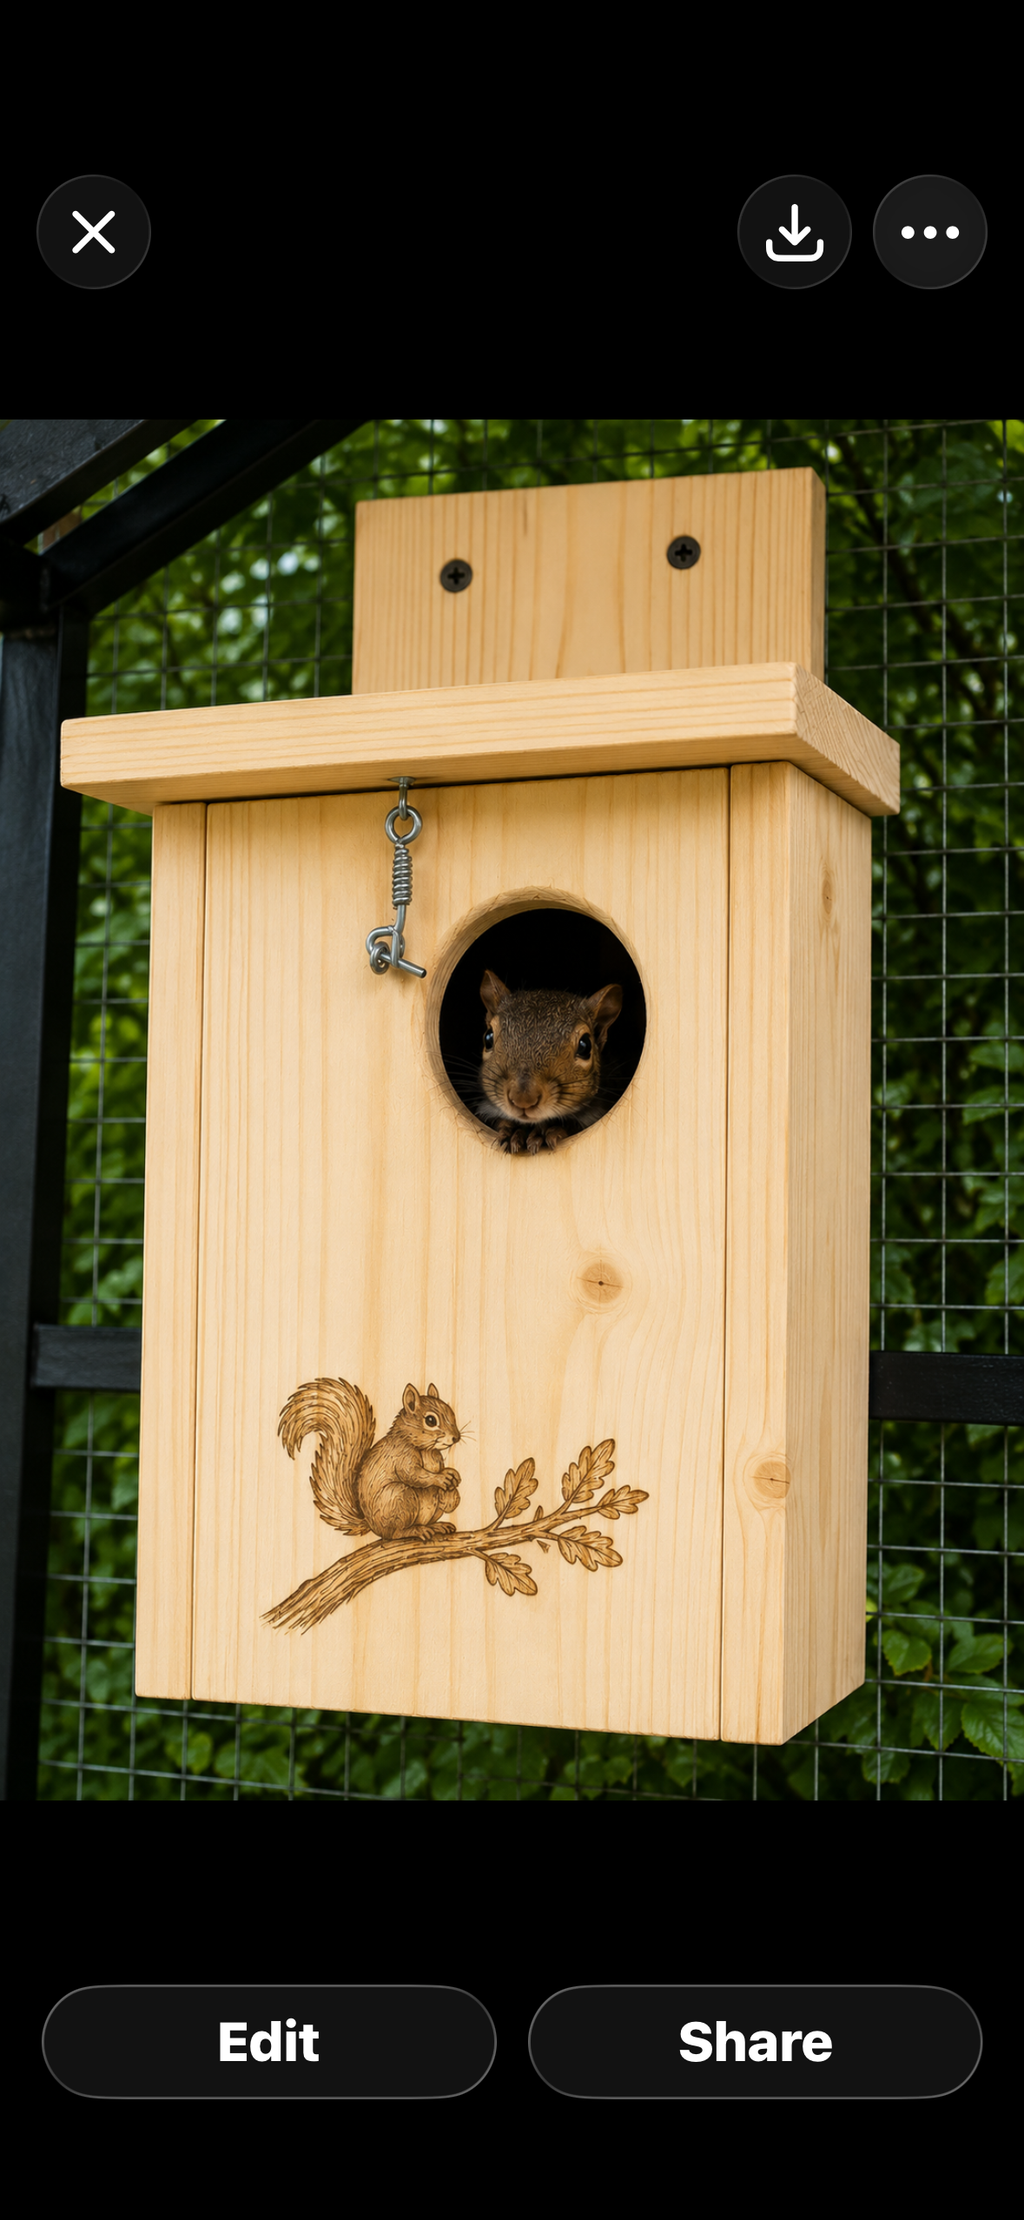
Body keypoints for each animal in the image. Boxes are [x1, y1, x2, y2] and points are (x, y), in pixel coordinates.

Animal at [278, 1378, 462, 1543]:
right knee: (394, 1533)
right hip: (399, 1496)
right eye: (430, 1420)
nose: (456, 1437)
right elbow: (414, 1475)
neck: (427, 1450)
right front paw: (441, 1478)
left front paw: (452, 1478)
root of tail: (371, 1524)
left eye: (452, 1413)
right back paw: (416, 1530)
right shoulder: (402, 1456)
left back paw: (437, 1526)